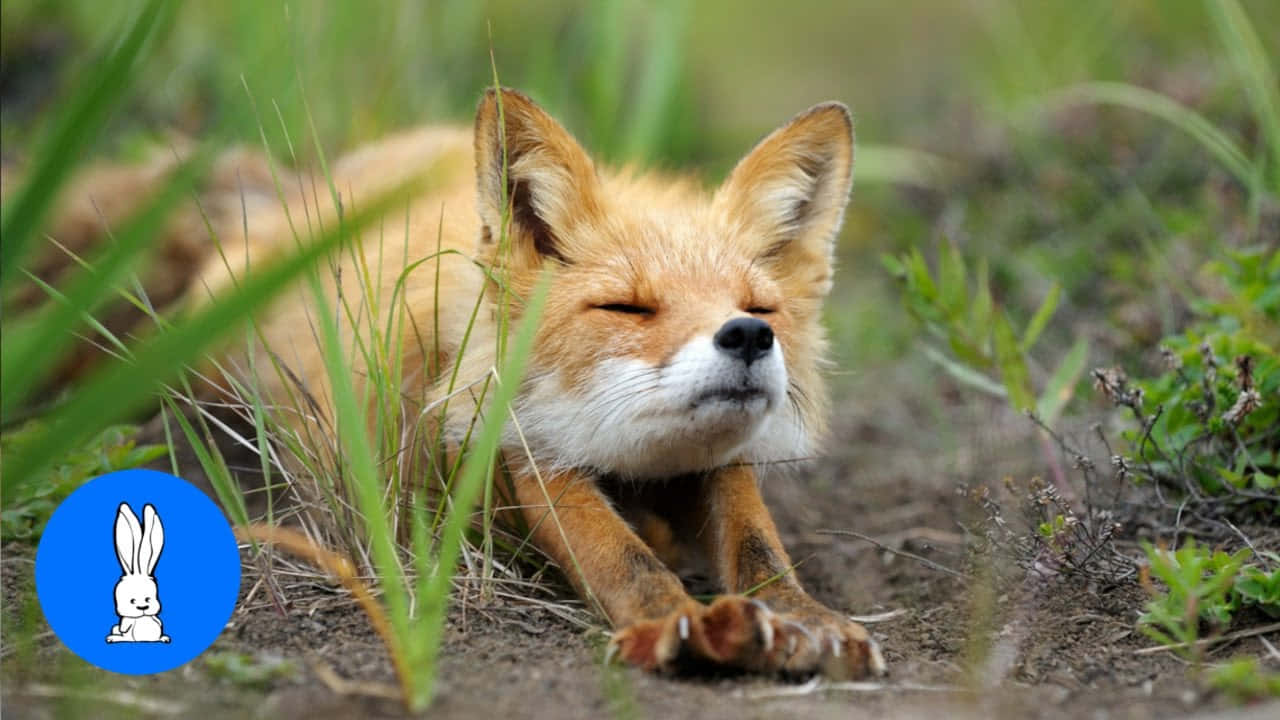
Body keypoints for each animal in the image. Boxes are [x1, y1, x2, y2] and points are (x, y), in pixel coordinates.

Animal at [32, 89, 890, 676]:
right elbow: (612, 548)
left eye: (759, 308)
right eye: (628, 306)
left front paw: (803, 617)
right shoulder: (505, 445)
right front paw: (670, 620)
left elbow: (755, 541)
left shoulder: (715, 461)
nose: (748, 337)